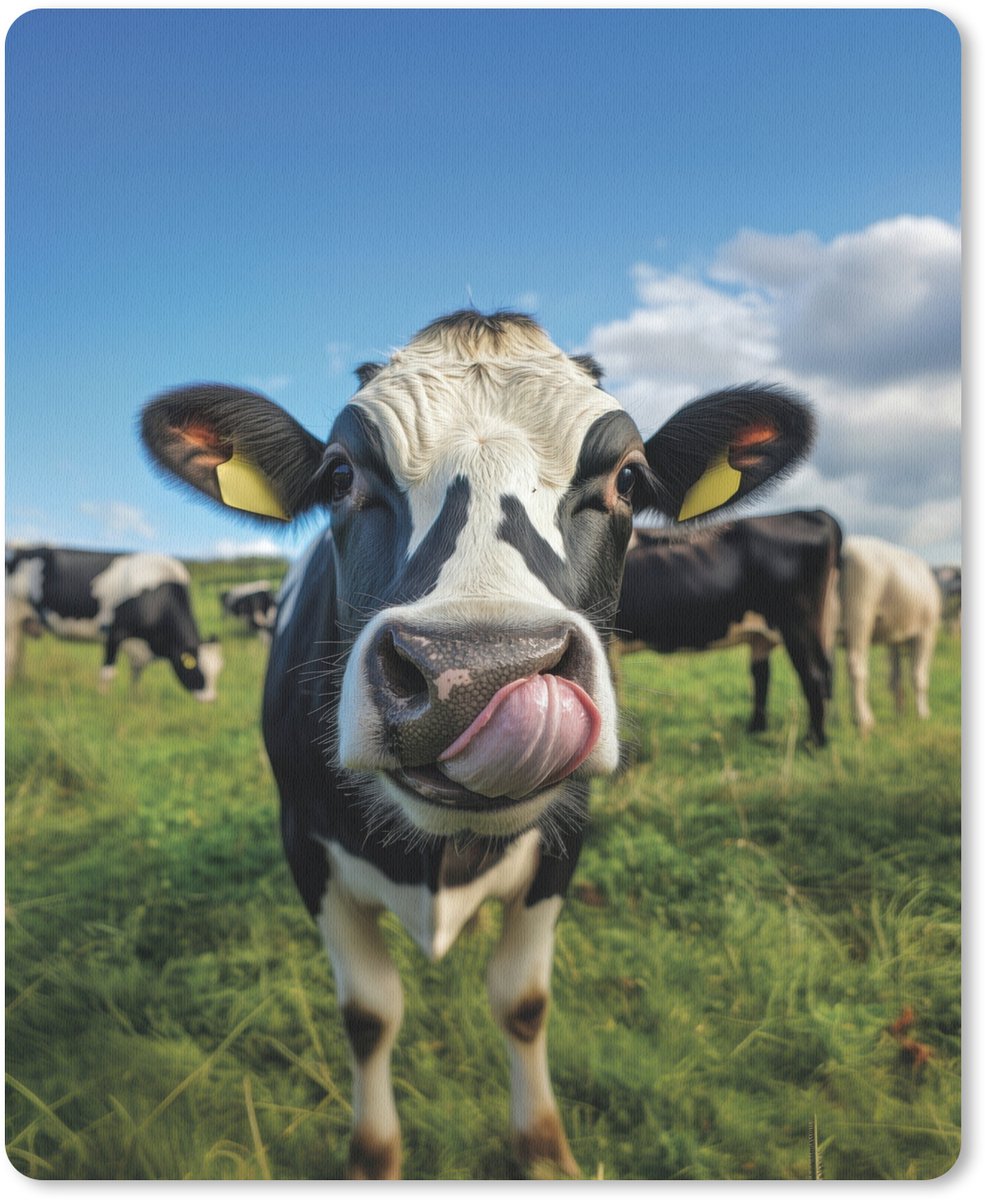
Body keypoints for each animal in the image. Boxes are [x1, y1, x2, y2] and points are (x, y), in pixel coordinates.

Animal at [4, 546, 223, 700]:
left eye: (218, 670)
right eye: (195, 668)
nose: (210, 700)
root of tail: (19, 552)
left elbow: (136, 674)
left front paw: (134, 698)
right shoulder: (115, 633)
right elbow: (108, 672)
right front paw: (103, 699)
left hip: (21, 624)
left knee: (17, 654)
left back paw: (16, 683)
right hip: (10, 619)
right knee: (10, 654)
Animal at [139, 309, 814, 1179]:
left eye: (629, 479)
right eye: (337, 475)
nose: (476, 672)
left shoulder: (564, 840)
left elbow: (521, 1003)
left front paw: (544, 1150)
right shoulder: (304, 843)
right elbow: (368, 1014)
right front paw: (373, 1156)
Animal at [613, 510, 842, 746]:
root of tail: (813, 513)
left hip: (798, 622)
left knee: (814, 675)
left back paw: (813, 742)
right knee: (765, 674)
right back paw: (757, 730)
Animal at [837, 535, 942, 735]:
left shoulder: (894, 638)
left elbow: (895, 677)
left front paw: (900, 713)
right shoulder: (927, 633)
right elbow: (919, 676)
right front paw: (923, 715)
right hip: (860, 614)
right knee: (856, 666)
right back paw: (863, 721)